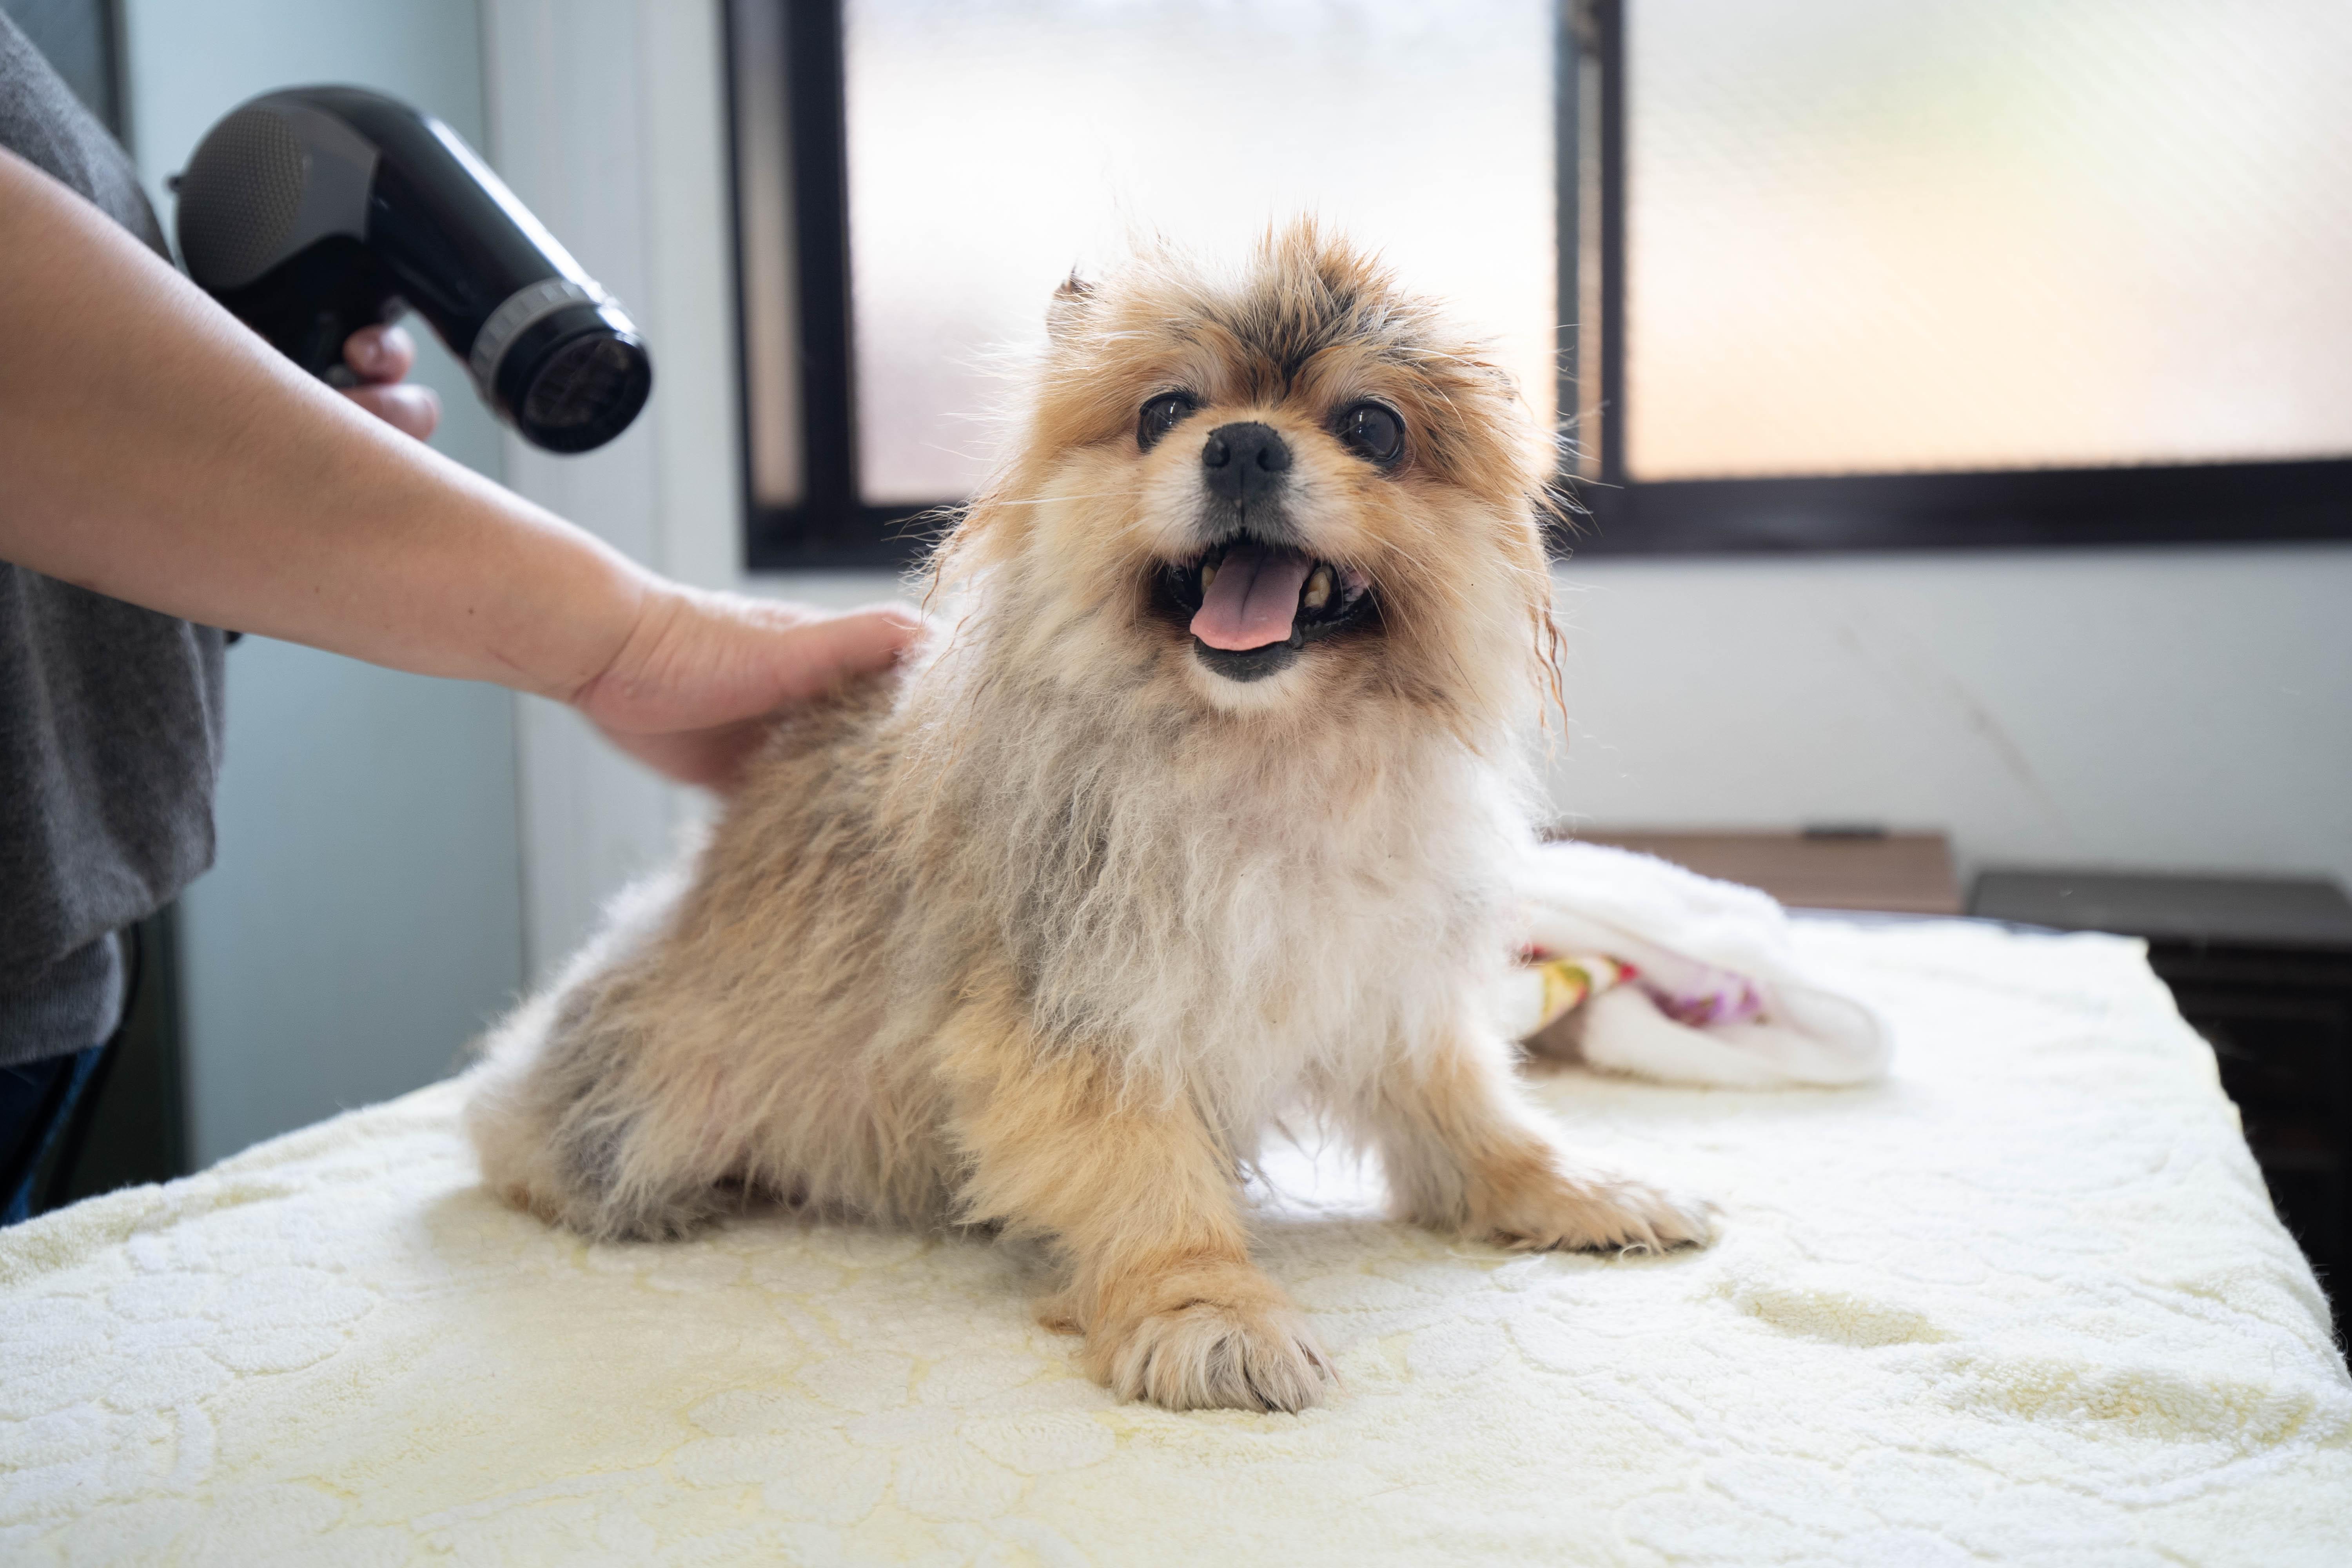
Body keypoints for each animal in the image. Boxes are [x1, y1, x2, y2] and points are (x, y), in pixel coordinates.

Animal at [463, 227, 1712, 1420]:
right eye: (1165, 411)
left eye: (1373, 425)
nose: (1242, 444)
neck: (1258, 755)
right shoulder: (1086, 1015)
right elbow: (1147, 1183)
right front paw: (1207, 1311)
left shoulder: (1387, 988)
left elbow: (1474, 1116)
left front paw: (1574, 1188)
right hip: (628, 1113)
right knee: (521, 1131)